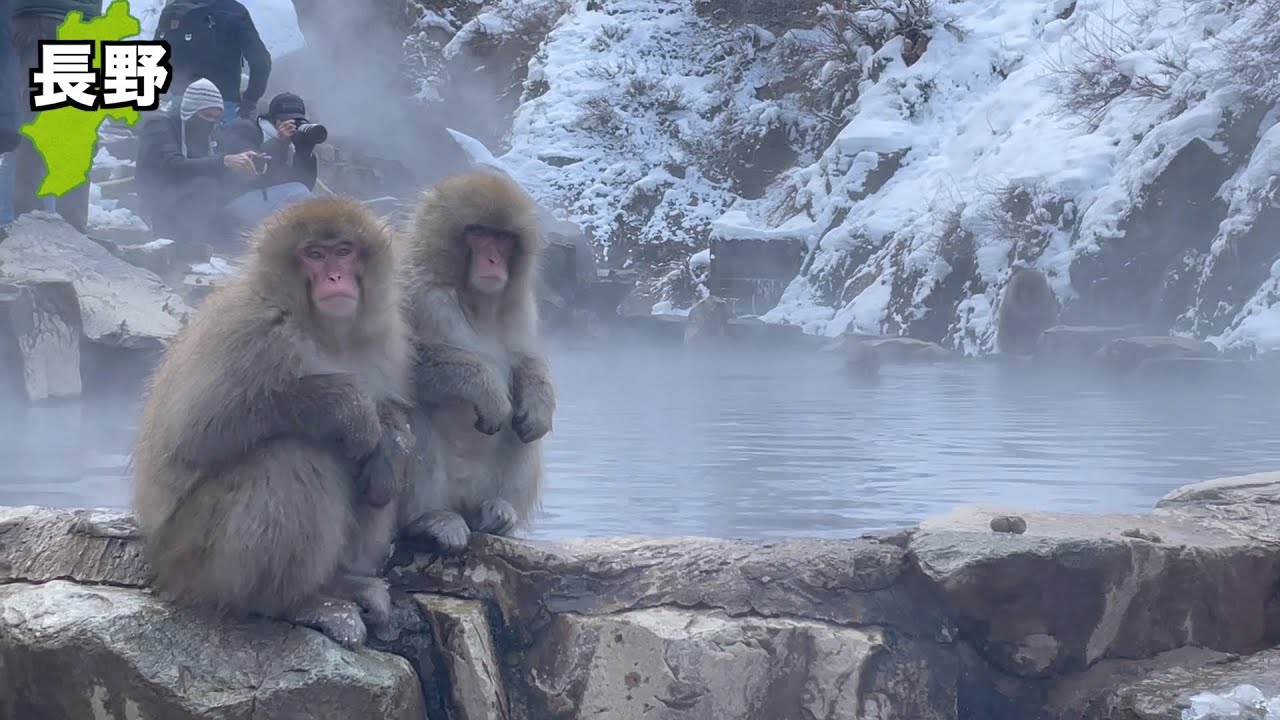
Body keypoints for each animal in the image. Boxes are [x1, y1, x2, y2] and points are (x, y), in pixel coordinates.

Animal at [131, 195, 414, 648]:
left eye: (344, 250)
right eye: (313, 255)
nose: (335, 276)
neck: (323, 332)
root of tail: (159, 564)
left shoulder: (386, 339)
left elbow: (389, 422)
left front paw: (391, 444)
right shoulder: (250, 329)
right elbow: (196, 432)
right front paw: (349, 407)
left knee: (367, 478)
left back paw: (343, 580)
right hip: (195, 555)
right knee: (291, 455)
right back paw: (296, 603)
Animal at [396, 170, 556, 552]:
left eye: (503, 238)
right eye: (479, 233)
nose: (493, 261)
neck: (476, 303)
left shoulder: (521, 305)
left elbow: (527, 362)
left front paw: (539, 404)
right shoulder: (414, 289)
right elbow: (403, 363)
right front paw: (486, 389)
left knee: (523, 433)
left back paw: (498, 512)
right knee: (414, 418)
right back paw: (429, 520)